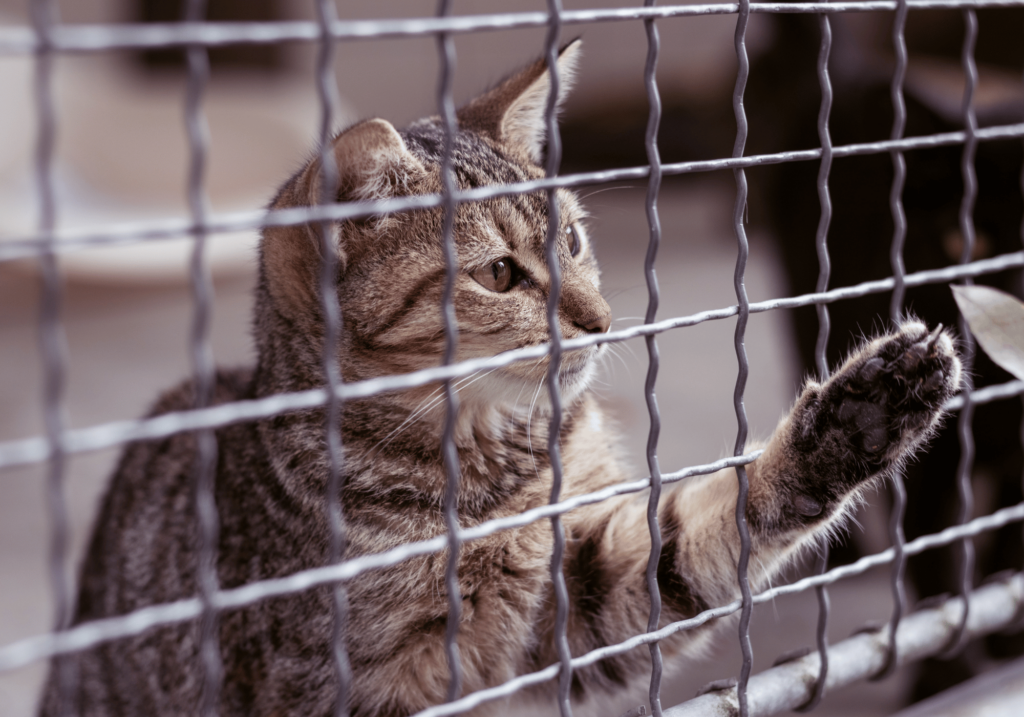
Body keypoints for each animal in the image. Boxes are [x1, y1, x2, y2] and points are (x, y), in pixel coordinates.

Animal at [41, 40, 966, 717]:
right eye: (497, 274)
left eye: (575, 239)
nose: (602, 317)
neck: (492, 472)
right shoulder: (351, 680)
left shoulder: (585, 591)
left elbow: (707, 531)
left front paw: (857, 420)